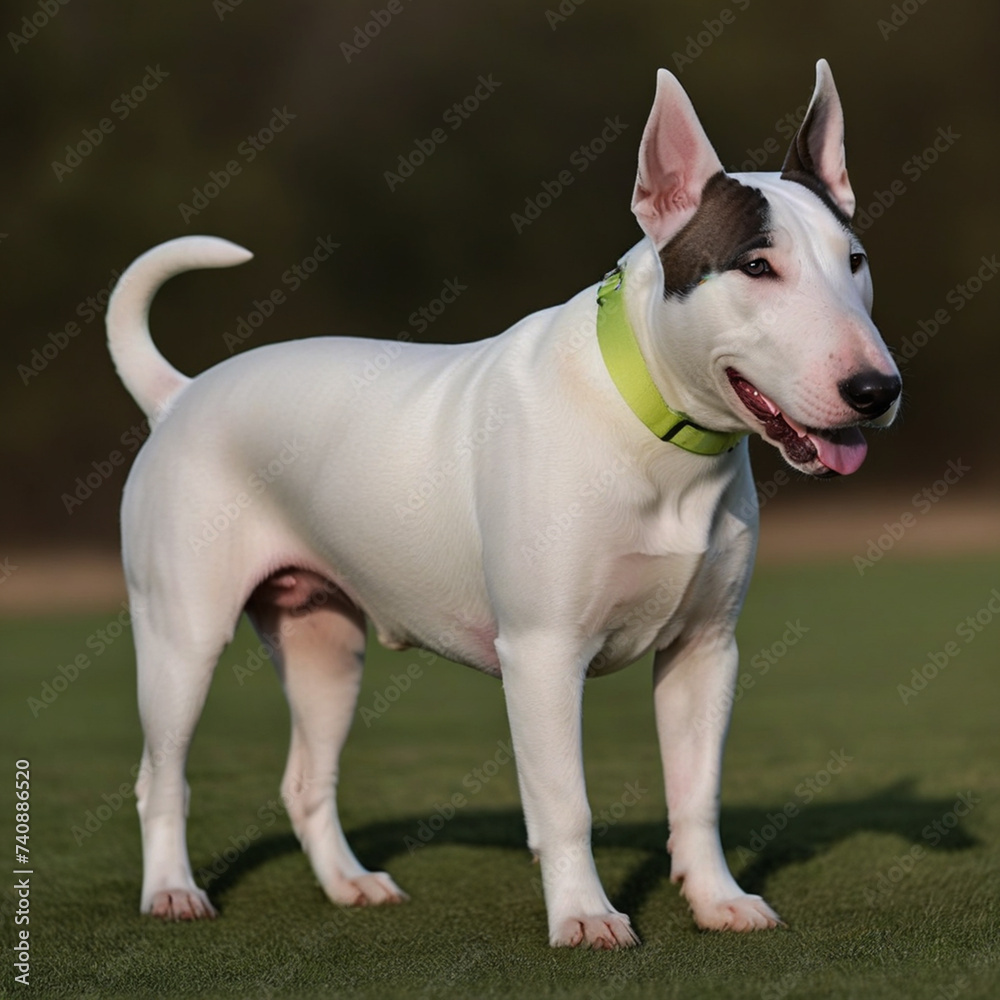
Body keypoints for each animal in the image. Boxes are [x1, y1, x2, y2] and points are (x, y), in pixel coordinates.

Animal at [107, 58, 900, 948]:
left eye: (855, 260)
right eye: (757, 268)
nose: (877, 390)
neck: (649, 424)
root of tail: (178, 396)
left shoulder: (705, 650)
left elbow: (697, 794)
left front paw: (717, 899)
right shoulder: (544, 654)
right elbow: (565, 803)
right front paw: (585, 916)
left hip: (324, 645)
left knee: (305, 777)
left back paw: (350, 884)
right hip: (182, 636)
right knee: (161, 774)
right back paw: (173, 890)